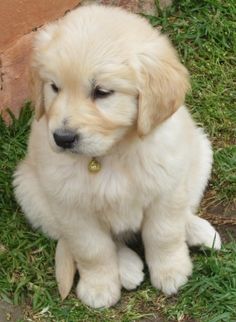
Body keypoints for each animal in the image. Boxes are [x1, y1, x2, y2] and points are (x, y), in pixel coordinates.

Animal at [13, 4, 221, 306]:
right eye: (54, 87)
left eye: (102, 92)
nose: (62, 138)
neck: (111, 153)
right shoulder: (72, 208)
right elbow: (93, 249)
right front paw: (99, 287)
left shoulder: (167, 187)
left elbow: (164, 233)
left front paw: (172, 271)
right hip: (29, 191)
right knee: (110, 242)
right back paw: (127, 267)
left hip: (200, 154)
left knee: (185, 210)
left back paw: (199, 231)